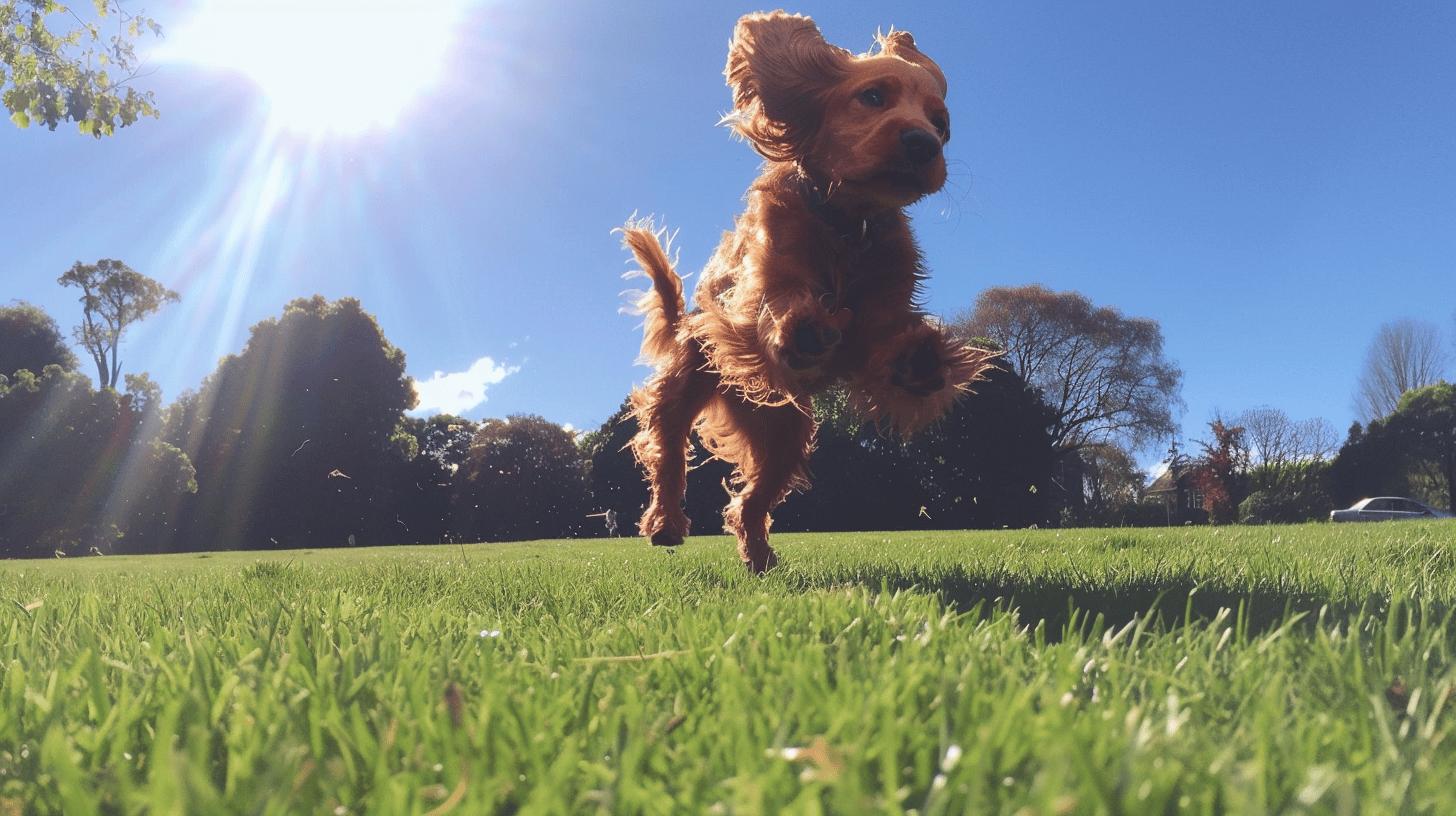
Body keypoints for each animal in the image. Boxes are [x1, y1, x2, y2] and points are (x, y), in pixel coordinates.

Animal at [620, 12, 995, 574]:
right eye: (873, 96)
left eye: (942, 125)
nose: (924, 143)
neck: (847, 225)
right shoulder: (757, 293)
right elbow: (775, 303)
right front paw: (801, 331)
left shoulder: (878, 318)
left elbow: (886, 339)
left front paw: (918, 360)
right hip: (686, 387)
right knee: (666, 453)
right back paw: (665, 523)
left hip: (788, 436)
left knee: (748, 502)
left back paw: (758, 557)